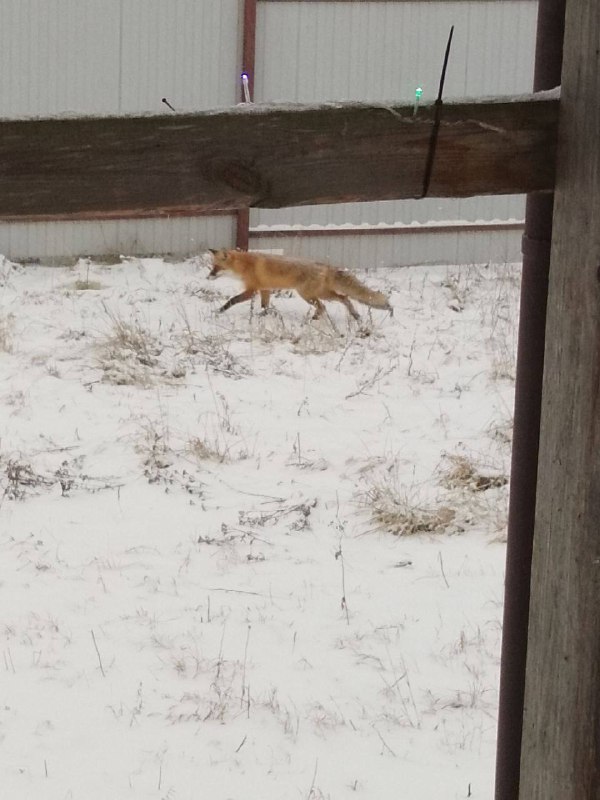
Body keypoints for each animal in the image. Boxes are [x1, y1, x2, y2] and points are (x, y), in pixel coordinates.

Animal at [207, 248, 394, 320]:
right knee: (344, 298)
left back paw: (312, 320)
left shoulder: (252, 290)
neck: (245, 265)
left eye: (217, 268)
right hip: (321, 293)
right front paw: (264, 316)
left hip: (308, 295)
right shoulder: (265, 289)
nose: (208, 277)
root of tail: (325, 266)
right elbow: (265, 306)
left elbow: (231, 300)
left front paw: (218, 311)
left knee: (324, 306)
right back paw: (355, 316)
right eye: (212, 266)